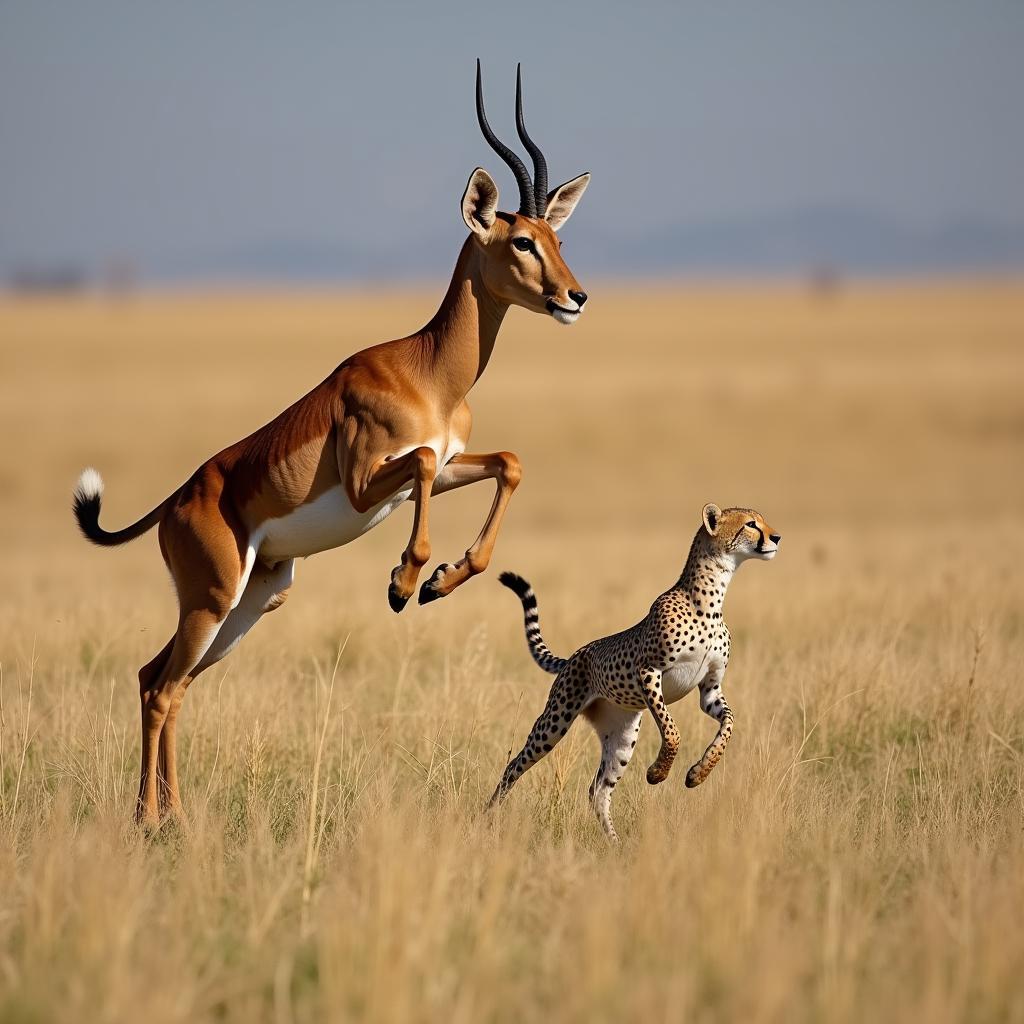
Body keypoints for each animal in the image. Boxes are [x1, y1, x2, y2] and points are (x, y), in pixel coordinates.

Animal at [491, 501, 778, 839]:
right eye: (751, 524)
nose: (777, 537)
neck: (709, 603)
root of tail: (575, 654)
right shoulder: (649, 671)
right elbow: (672, 732)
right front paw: (658, 773)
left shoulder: (710, 690)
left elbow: (729, 726)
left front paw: (698, 773)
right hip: (555, 720)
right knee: (515, 764)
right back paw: (488, 816)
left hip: (622, 735)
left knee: (598, 790)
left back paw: (614, 843)